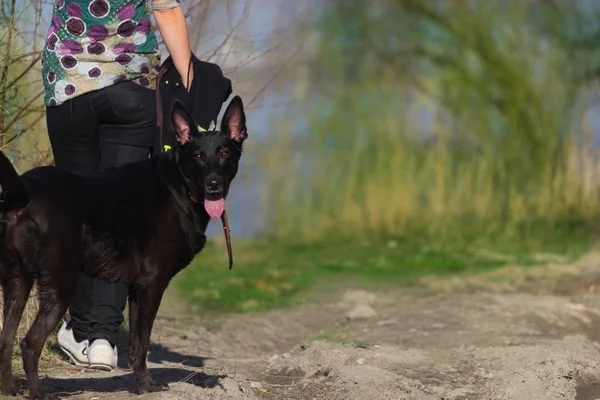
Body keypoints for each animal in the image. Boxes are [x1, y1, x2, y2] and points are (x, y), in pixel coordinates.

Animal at [0, 95, 246, 398]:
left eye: (224, 154)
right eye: (198, 156)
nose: (214, 185)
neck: (179, 184)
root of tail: (25, 188)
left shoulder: (136, 288)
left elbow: (137, 345)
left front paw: (140, 383)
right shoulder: (152, 285)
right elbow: (142, 342)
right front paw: (146, 385)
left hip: (16, 282)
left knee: (5, 340)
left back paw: (9, 388)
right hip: (60, 283)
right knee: (29, 343)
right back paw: (39, 393)